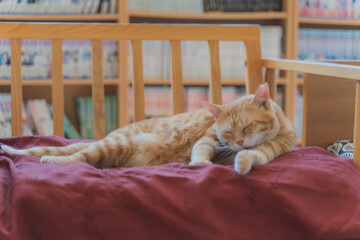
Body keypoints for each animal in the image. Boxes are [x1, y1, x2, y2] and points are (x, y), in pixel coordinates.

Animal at [0, 83, 296, 175]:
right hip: (112, 145)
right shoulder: (208, 139)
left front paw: (242, 163)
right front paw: (201, 165)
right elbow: (201, 150)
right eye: (228, 133)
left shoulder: (272, 148)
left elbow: (254, 156)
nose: (238, 143)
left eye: (247, 126)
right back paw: (45, 160)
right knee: (72, 157)